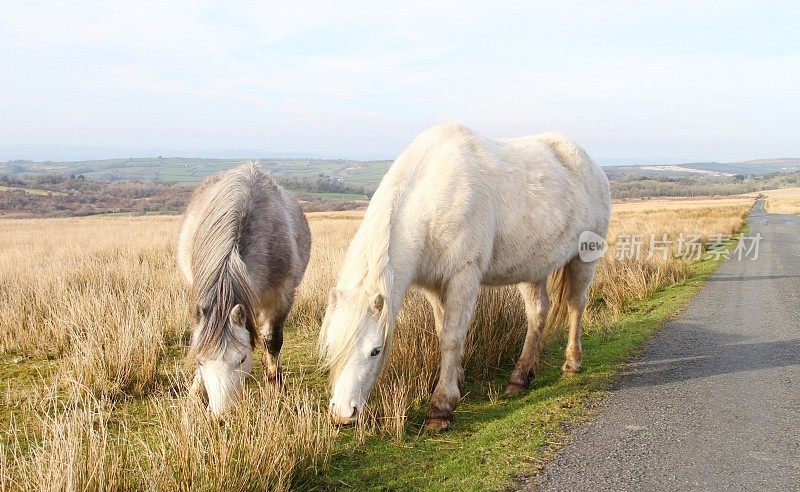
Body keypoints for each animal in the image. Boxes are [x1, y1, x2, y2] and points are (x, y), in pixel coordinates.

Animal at [177, 164, 310, 416]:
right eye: (200, 362)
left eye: (241, 359)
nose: (221, 417)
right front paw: (194, 396)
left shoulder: (280, 297)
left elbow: (272, 341)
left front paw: (276, 388)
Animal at [322, 122, 608, 430]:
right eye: (331, 344)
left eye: (375, 350)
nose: (343, 413)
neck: (432, 199)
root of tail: (590, 164)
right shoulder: (434, 287)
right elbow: (442, 331)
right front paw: (457, 378)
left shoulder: (463, 277)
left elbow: (452, 337)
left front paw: (441, 408)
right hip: (534, 267)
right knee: (537, 314)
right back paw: (520, 379)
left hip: (584, 258)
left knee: (576, 305)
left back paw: (572, 364)